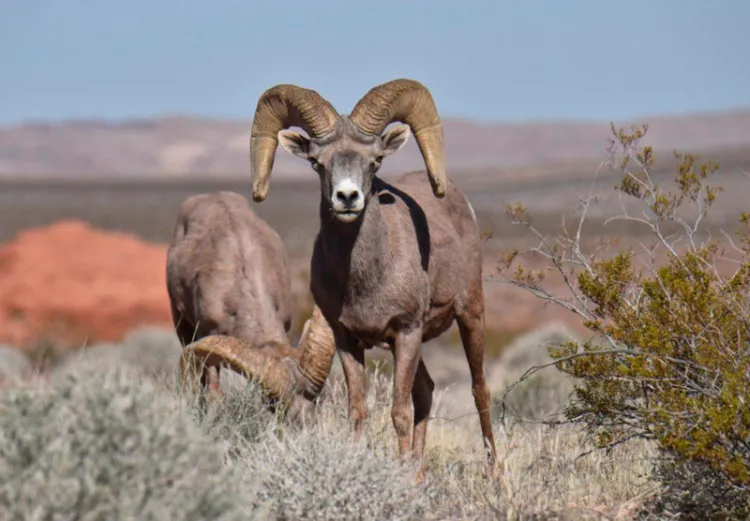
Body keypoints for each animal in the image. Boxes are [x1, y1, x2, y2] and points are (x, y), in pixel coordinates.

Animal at [247, 77, 502, 472]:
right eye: (317, 163)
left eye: (375, 160)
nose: (347, 197)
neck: (363, 279)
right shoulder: (347, 340)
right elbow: (358, 410)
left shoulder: (407, 332)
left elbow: (399, 412)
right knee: (426, 391)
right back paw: (418, 472)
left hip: (470, 316)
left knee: (479, 390)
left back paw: (494, 475)